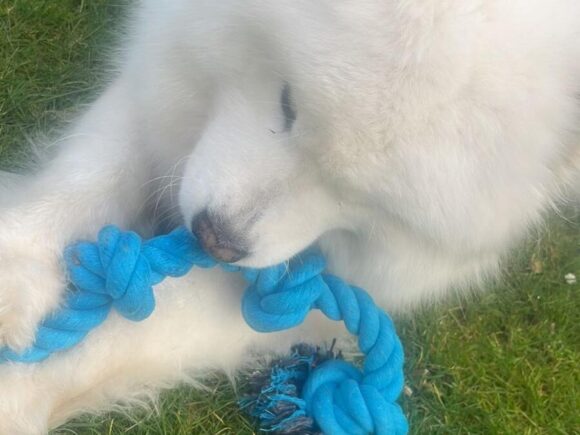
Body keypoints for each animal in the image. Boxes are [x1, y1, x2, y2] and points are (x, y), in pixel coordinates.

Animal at [1, 0, 580, 432]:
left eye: (360, 197)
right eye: (288, 104)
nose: (216, 240)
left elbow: (136, 331)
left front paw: (16, 395)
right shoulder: (160, 77)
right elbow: (86, 178)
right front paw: (14, 279)